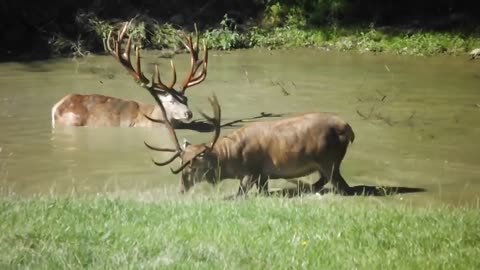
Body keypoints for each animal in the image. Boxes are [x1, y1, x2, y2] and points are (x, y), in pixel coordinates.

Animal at [51, 20, 208, 128]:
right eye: (171, 101)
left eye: (186, 99)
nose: (189, 113)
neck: (152, 119)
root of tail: (56, 107)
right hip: (71, 122)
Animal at [144, 90, 354, 196]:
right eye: (181, 162)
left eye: (193, 166)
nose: (181, 189)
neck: (231, 161)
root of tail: (349, 129)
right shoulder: (264, 175)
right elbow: (262, 192)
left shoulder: (251, 172)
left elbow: (239, 194)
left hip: (329, 159)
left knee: (341, 185)